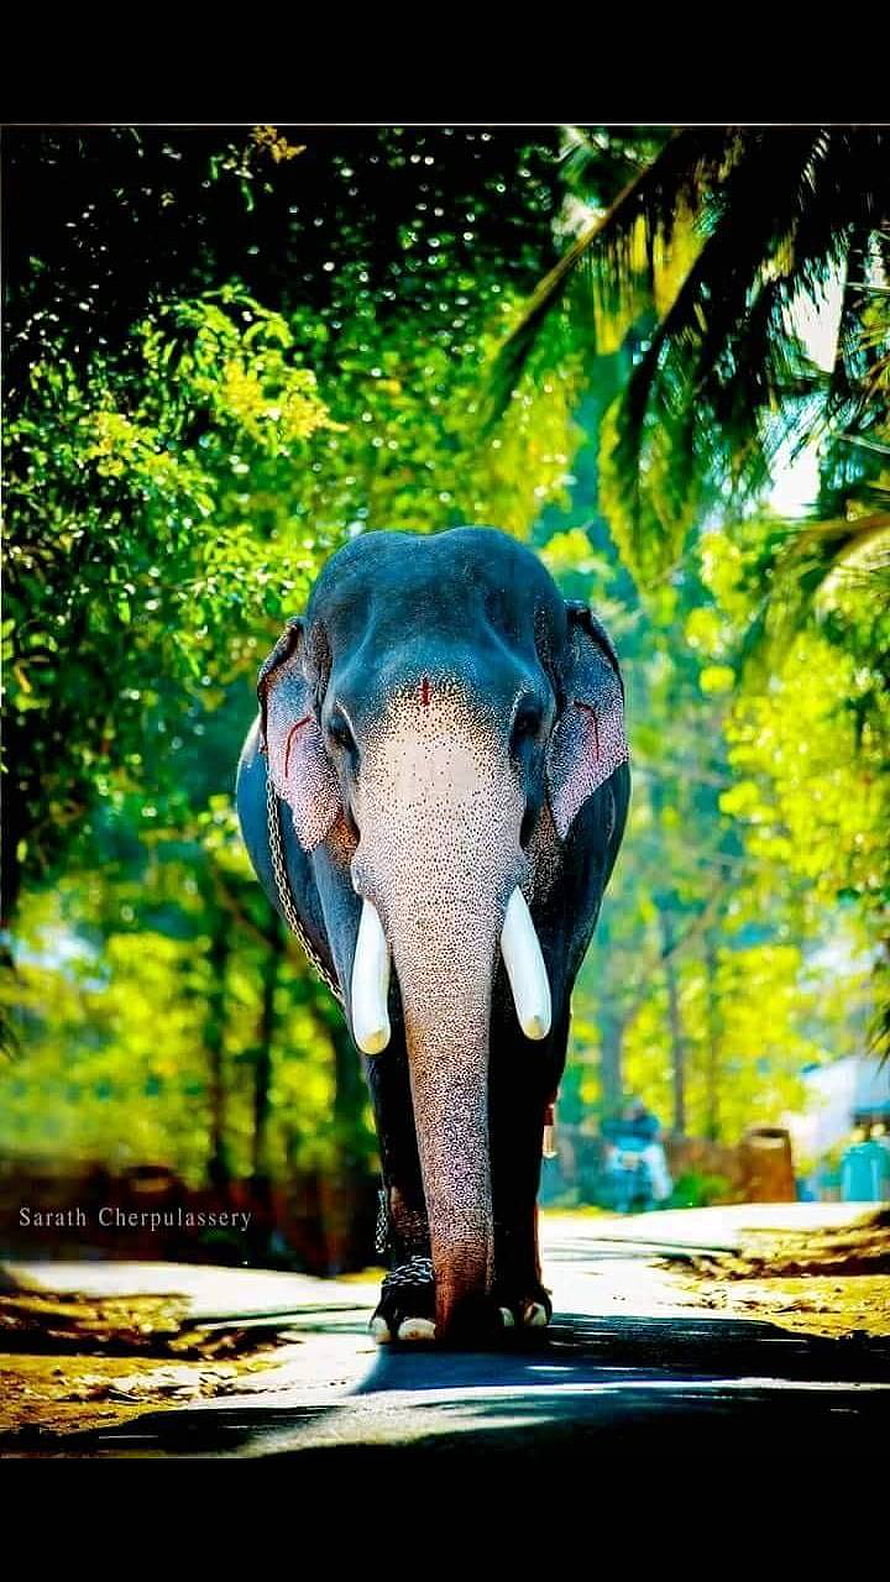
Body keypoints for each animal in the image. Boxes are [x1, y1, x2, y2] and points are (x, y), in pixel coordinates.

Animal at [236, 526, 630, 1345]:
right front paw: (409, 1321)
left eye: (529, 724)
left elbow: (528, 1025)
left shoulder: (579, 837)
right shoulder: (329, 838)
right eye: (338, 733)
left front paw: (507, 1309)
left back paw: (528, 1302)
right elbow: (382, 1025)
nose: (459, 1318)